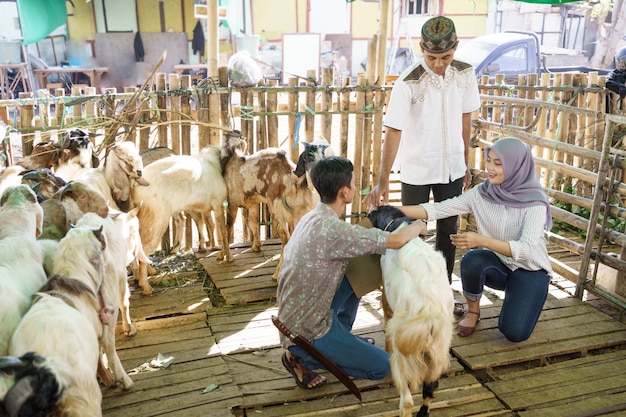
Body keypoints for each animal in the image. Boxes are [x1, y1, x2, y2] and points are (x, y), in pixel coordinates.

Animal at [130, 145, 232, 294]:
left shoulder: (200, 207)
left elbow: (207, 223)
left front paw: (210, 247)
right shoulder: (218, 204)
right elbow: (223, 230)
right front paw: (227, 257)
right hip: (157, 219)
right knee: (144, 247)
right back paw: (146, 286)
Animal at [368, 205, 450, 416]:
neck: (397, 223)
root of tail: (429, 311)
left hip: (402, 354)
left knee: (407, 400)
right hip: (438, 350)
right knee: (430, 387)